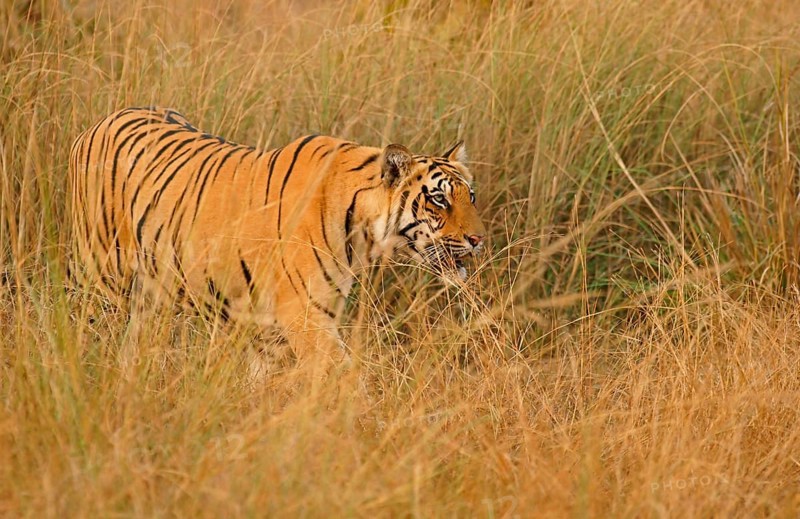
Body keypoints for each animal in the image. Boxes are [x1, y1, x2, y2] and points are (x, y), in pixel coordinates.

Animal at [68, 106, 486, 363]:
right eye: (438, 200)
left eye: (470, 196)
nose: (479, 241)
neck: (362, 235)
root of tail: (99, 122)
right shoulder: (305, 317)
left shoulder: (272, 327)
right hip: (102, 278)